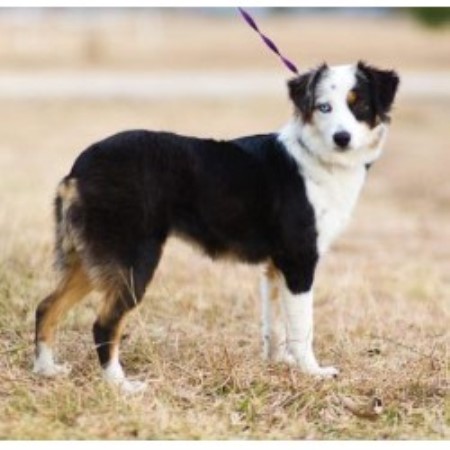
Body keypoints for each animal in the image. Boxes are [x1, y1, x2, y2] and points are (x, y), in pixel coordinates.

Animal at [33, 61, 400, 392]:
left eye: (359, 105)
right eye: (324, 107)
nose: (342, 138)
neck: (316, 157)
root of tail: (79, 169)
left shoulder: (275, 267)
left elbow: (275, 325)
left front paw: (278, 364)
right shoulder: (299, 261)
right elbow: (302, 327)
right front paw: (312, 372)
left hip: (92, 260)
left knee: (46, 307)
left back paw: (46, 370)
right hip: (134, 261)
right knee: (104, 324)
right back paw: (120, 385)